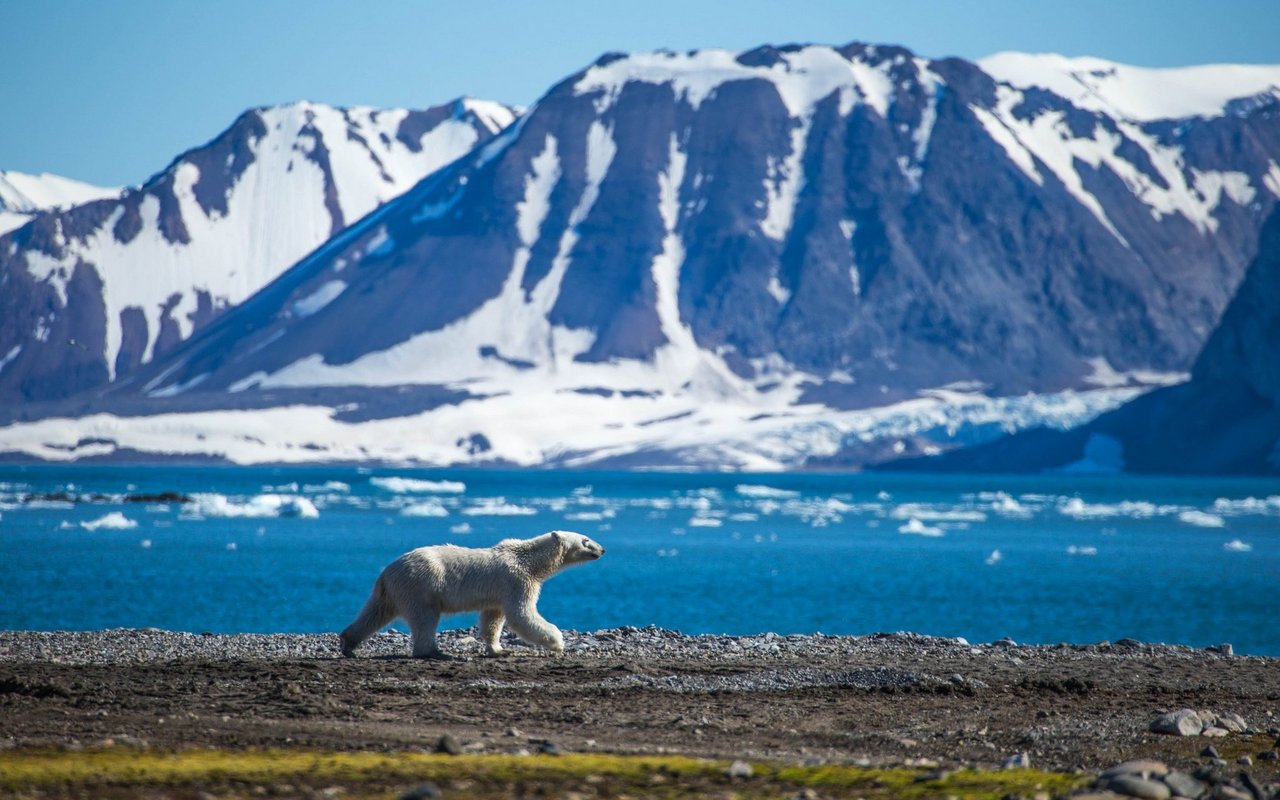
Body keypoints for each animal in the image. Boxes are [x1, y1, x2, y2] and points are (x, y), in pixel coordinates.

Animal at [337, 529, 601, 655]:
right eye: (586, 539)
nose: (602, 549)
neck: (528, 561)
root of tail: (387, 571)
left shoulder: (499, 592)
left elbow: (493, 618)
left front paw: (498, 649)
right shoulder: (517, 581)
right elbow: (522, 614)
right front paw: (558, 642)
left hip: (392, 590)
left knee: (375, 613)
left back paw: (348, 643)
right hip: (420, 586)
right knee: (424, 618)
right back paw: (433, 652)